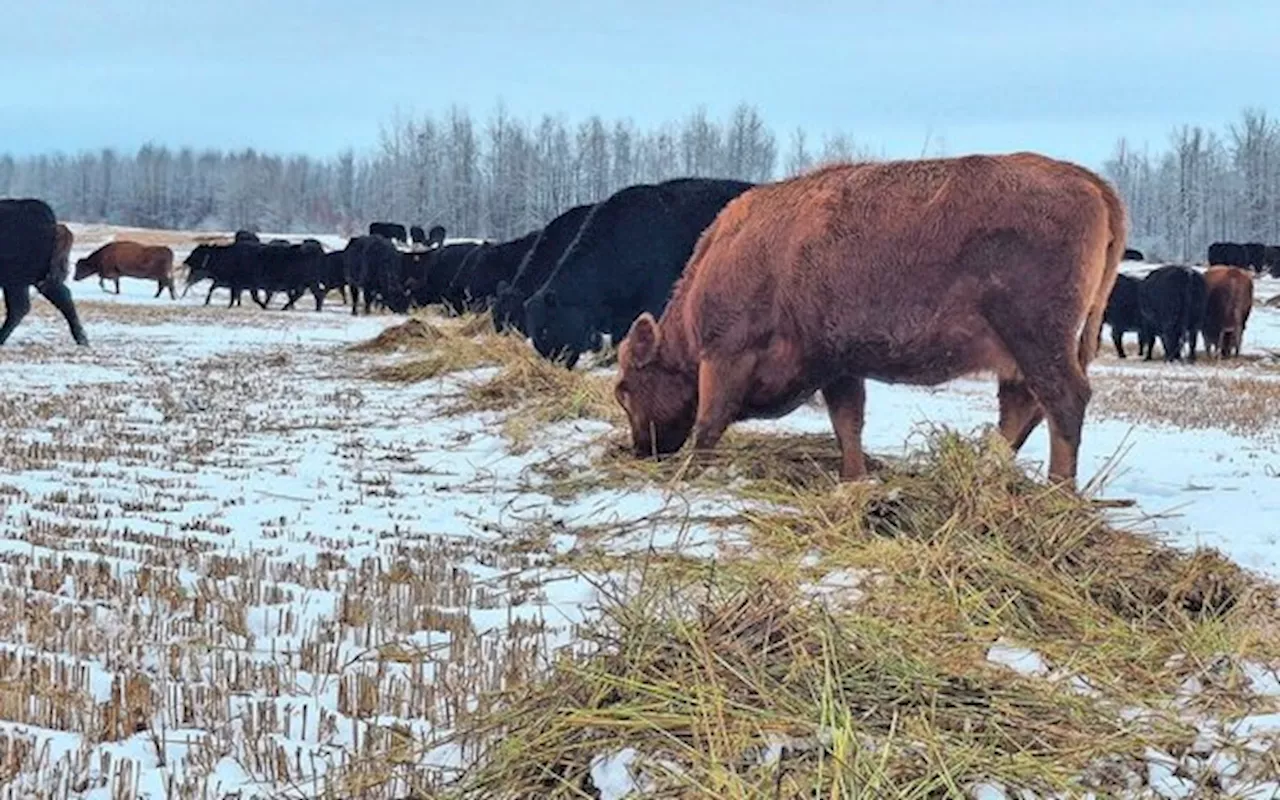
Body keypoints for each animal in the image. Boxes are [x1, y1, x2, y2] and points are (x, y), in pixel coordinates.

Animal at [614, 150, 1126, 486]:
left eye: (625, 390)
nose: (642, 450)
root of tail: (1087, 180)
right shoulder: (837, 366)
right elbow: (848, 424)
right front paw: (853, 479)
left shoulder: (727, 354)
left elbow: (709, 422)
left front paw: (686, 476)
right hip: (1020, 354)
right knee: (1022, 407)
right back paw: (988, 473)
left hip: (1037, 340)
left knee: (1064, 401)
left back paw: (1059, 493)